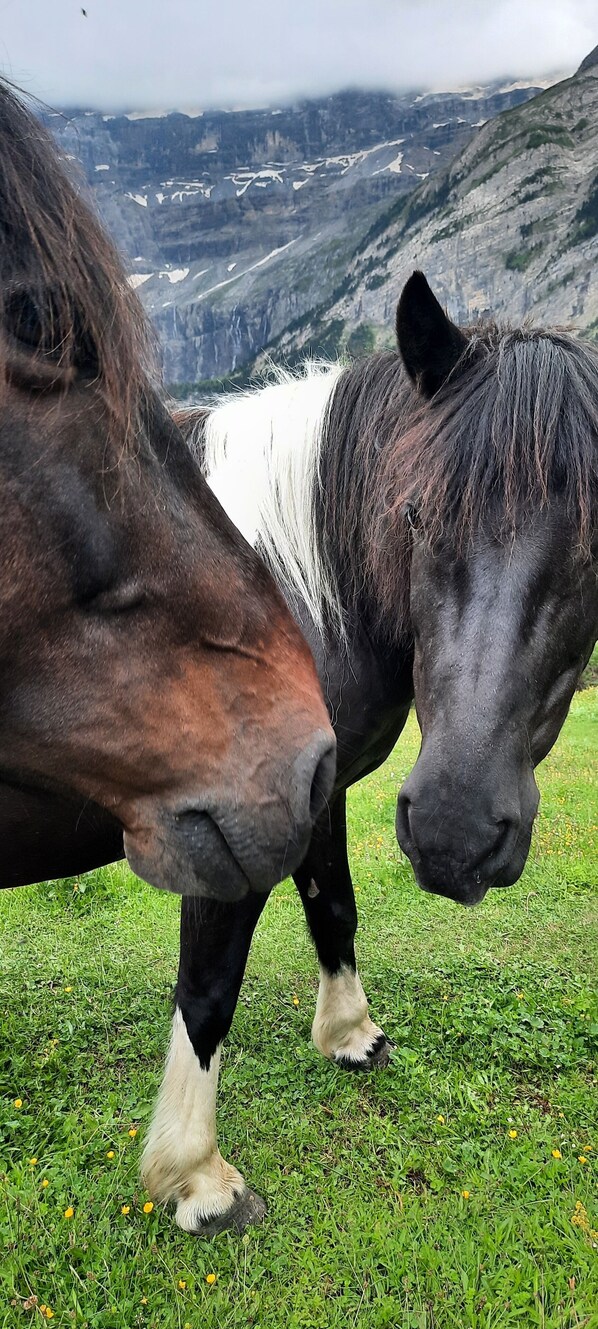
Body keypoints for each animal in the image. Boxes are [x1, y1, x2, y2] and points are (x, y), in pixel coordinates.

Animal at [5, 265, 597, 1235]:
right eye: (414, 513)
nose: (456, 832)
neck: (283, 597)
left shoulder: (317, 791)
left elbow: (335, 906)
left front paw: (351, 1035)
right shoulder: (227, 827)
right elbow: (208, 985)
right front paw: (196, 1177)